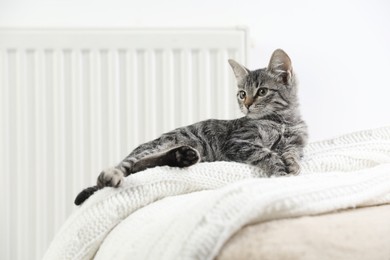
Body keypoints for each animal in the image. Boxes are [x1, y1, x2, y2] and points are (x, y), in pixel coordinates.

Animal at [74, 47, 308, 204]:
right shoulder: (239, 142)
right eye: (242, 94)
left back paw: (182, 156)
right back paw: (112, 175)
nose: (247, 105)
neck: (282, 121)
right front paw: (280, 171)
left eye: (262, 91)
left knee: (140, 166)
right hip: (158, 144)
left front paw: (292, 164)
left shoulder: (297, 142)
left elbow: (292, 152)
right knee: (128, 166)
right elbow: (267, 153)